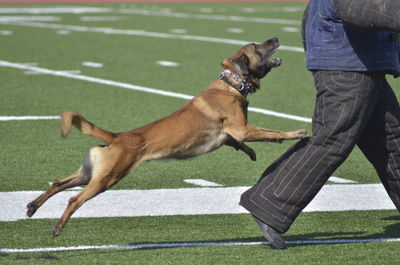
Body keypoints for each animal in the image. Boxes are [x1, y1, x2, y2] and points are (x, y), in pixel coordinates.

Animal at [25, 36, 306, 235]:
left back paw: (33, 207)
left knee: (57, 184)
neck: (231, 84)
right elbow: (269, 131)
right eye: (257, 47)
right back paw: (57, 227)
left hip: (88, 173)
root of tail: (116, 136)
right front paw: (295, 133)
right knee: (73, 198)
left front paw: (255, 151)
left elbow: (244, 143)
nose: (276, 38)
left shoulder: (231, 135)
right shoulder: (242, 129)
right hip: (107, 178)